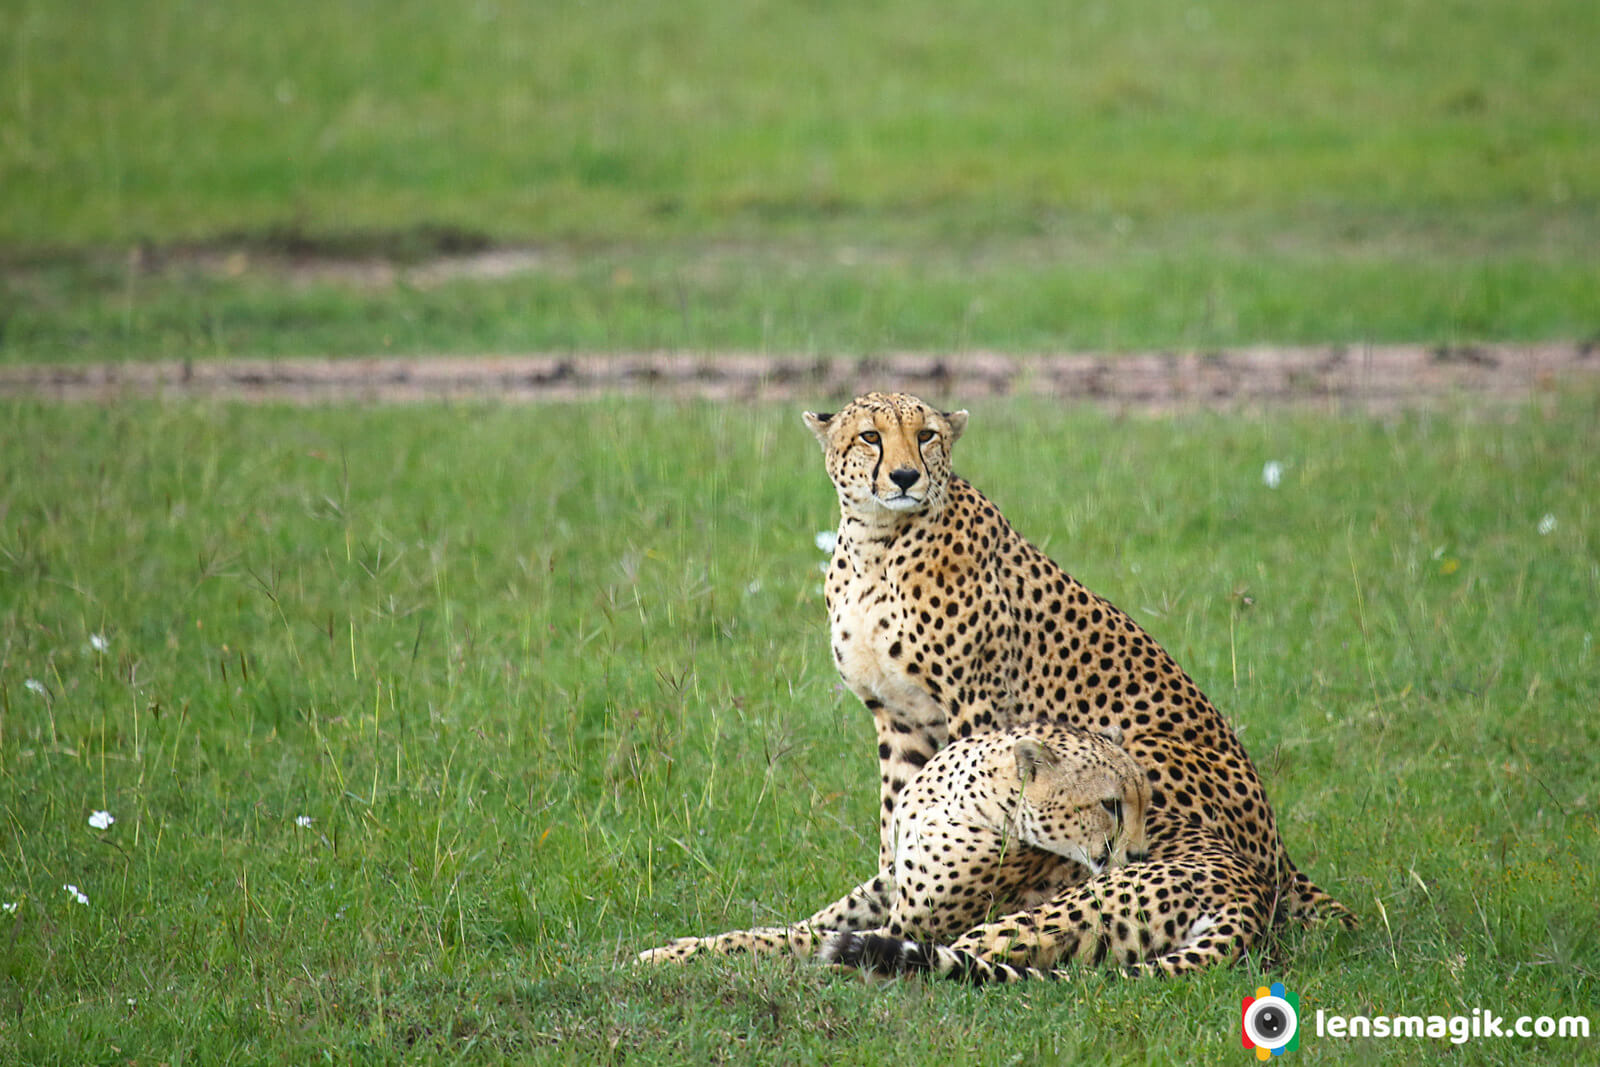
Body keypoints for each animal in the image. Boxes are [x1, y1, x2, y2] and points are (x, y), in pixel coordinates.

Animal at [636, 723, 1152, 966]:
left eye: (1145, 801)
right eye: (1111, 805)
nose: (1140, 855)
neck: (968, 795)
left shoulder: (907, 928)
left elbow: (794, 939)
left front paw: (671, 956)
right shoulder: (890, 882)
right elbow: (805, 924)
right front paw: (690, 942)